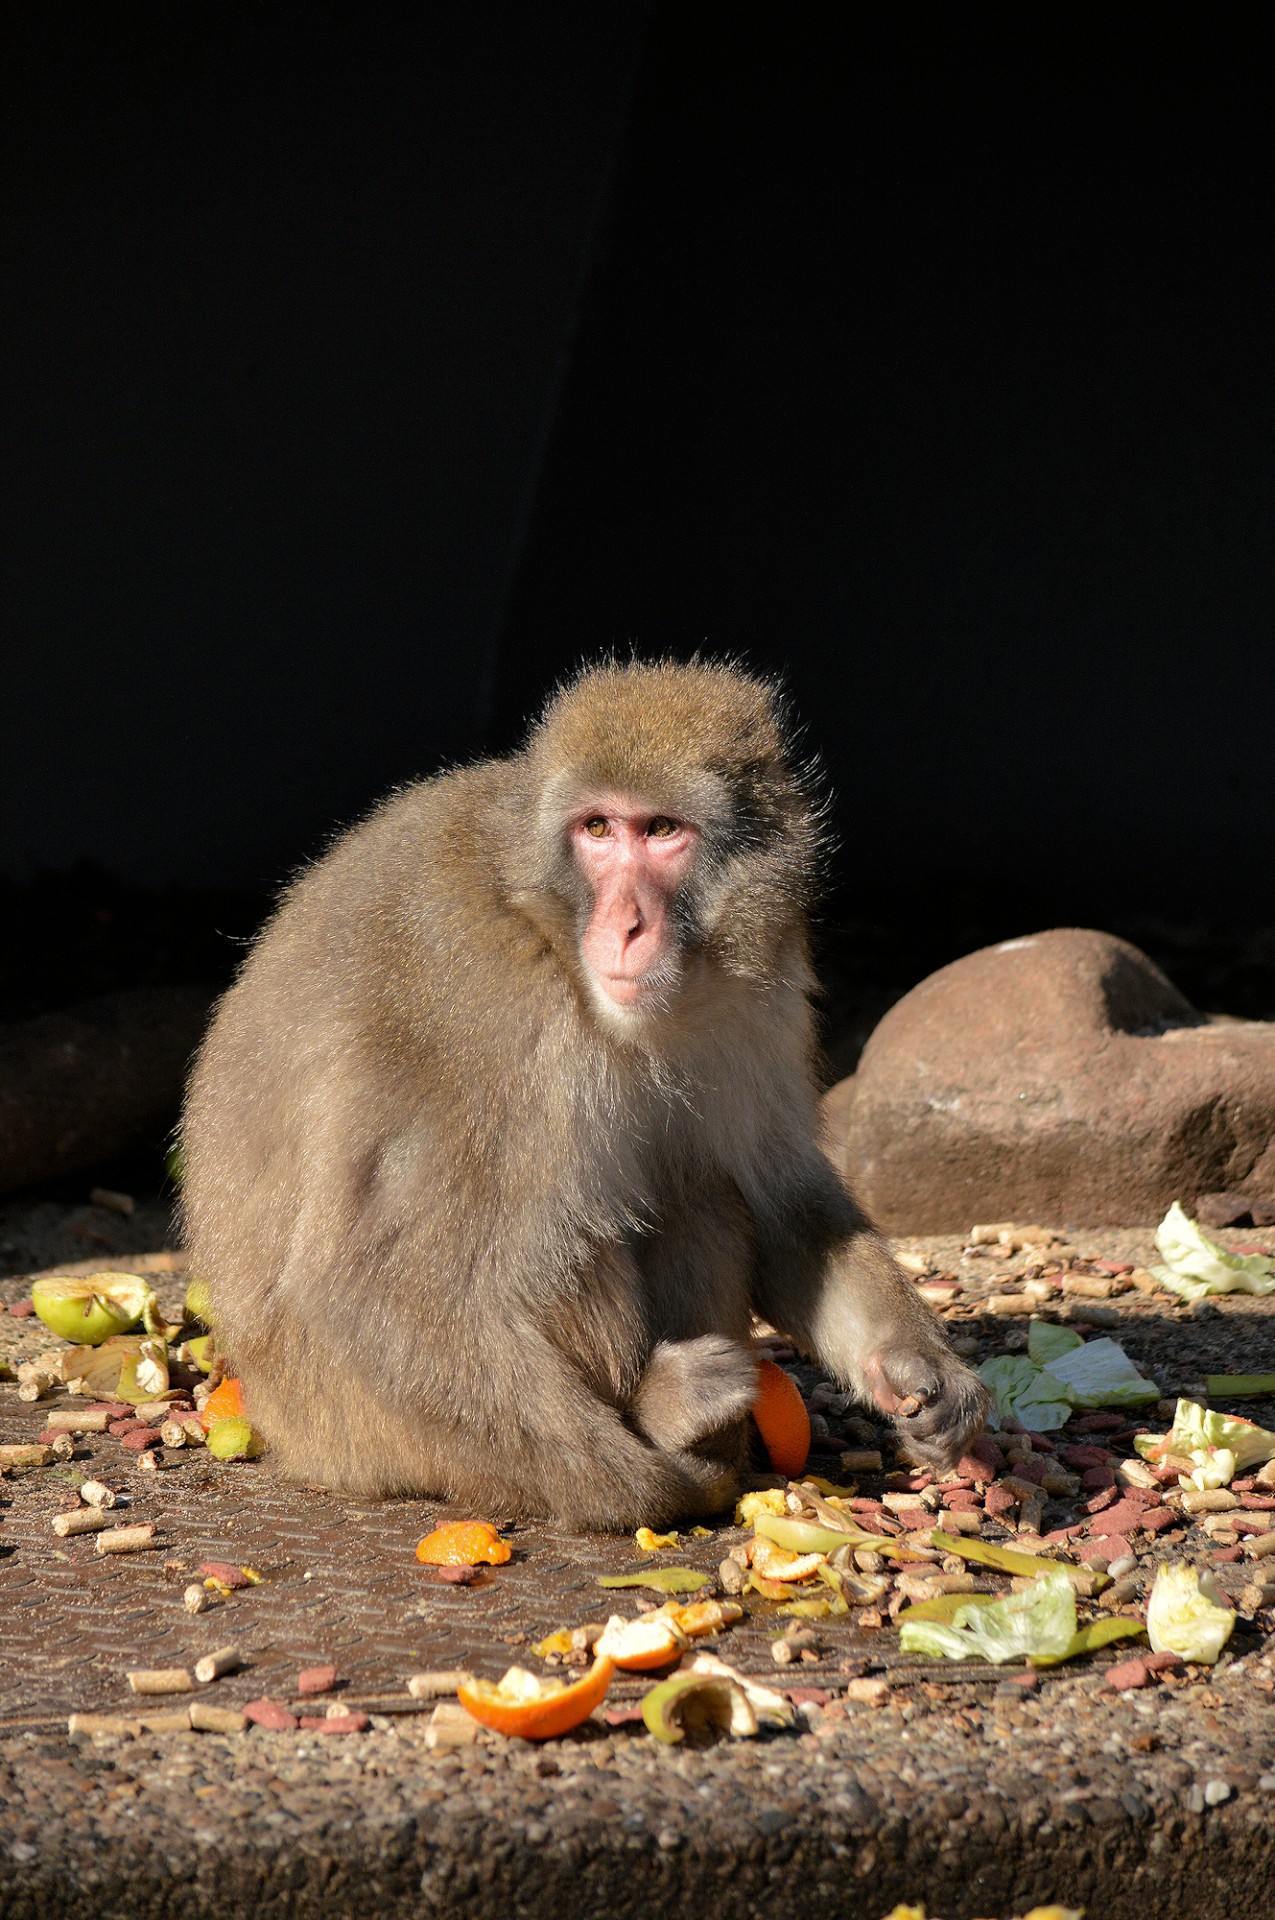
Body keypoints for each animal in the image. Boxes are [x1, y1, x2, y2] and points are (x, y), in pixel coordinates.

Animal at [181, 664, 983, 1528]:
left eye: (660, 830)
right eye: (597, 830)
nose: (626, 926)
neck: (545, 925)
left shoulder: (757, 992)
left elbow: (780, 1199)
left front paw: (914, 1367)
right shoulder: (492, 1013)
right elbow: (369, 1286)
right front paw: (650, 1484)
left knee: (697, 1186)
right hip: (362, 1433)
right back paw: (664, 1414)